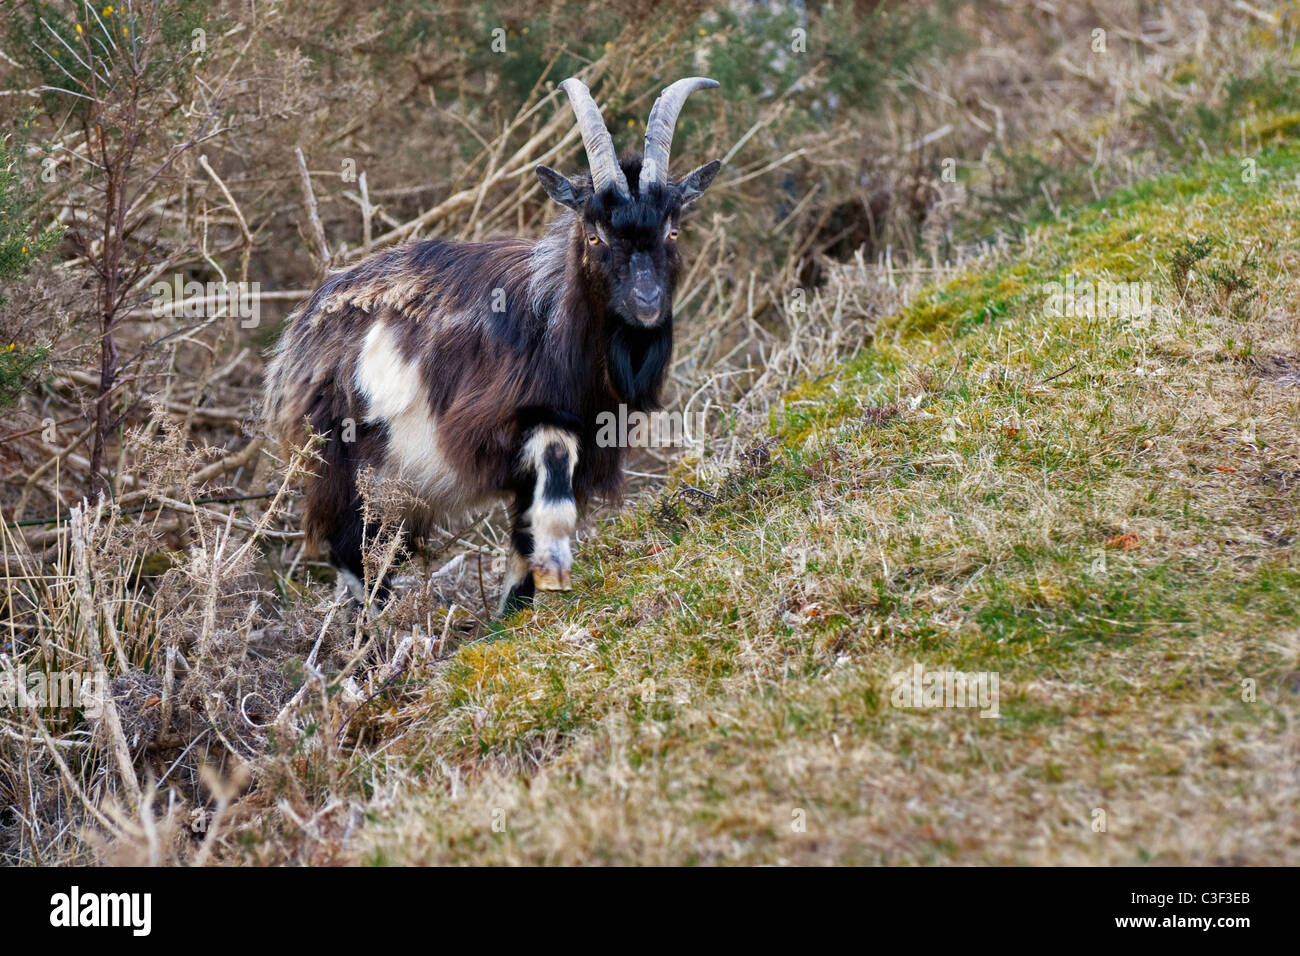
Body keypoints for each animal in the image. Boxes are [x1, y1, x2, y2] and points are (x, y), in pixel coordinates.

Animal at [263, 76, 722, 614]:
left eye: (673, 229)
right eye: (593, 234)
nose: (647, 302)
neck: (553, 330)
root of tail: (298, 335)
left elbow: (524, 533)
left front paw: (514, 612)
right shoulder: (494, 424)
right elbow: (552, 476)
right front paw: (552, 572)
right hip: (342, 459)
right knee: (353, 547)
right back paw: (374, 627)